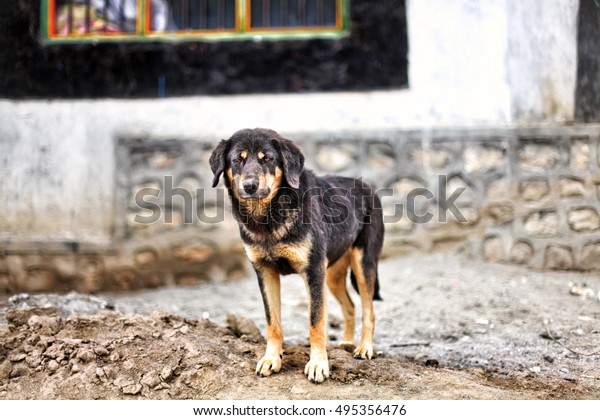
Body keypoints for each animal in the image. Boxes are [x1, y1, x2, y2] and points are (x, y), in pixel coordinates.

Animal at [209, 129, 382, 384]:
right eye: (237, 160)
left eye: (267, 158)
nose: (249, 186)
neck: (268, 218)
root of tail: (367, 187)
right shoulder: (265, 273)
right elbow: (272, 322)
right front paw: (272, 359)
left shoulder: (313, 272)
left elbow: (316, 322)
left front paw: (318, 364)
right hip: (332, 274)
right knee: (350, 306)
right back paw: (346, 344)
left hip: (363, 264)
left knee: (369, 310)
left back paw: (364, 348)